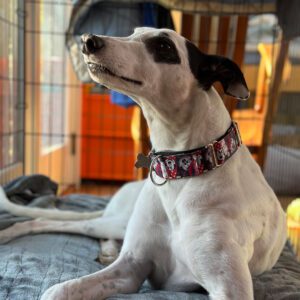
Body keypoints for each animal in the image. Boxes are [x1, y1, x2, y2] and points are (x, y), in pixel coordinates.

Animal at [0, 28, 286, 300]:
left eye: (164, 45)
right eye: (133, 32)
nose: (88, 40)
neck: (185, 170)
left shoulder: (228, 288)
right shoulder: (131, 266)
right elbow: (58, 289)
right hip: (114, 222)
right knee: (52, 221)